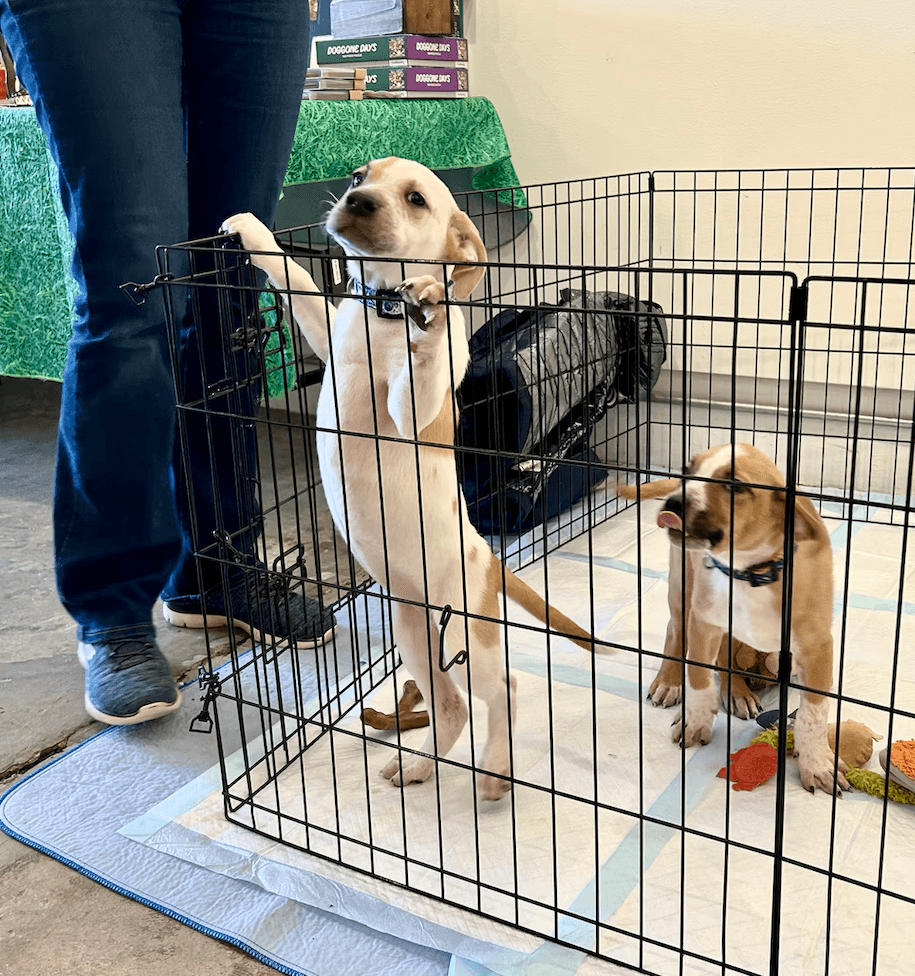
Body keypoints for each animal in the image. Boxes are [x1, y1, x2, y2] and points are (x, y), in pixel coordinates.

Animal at [222, 157, 596, 801]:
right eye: (357, 175)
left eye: (416, 199)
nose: (358, 201)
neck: (380, 310)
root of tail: (487, 558)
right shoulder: (330, 329)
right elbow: (298, 278)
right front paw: (251, 231)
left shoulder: (409, 413)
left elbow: (421, 366)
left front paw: (434, 304)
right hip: (415, 632)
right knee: (450, 707)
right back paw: (420, 765)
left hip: (467, 634)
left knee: (504, 689)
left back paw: (495, 769)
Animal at [618, 443, 848, 794]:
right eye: (687, 470)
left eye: (735, 485)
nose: (673, 503)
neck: (750, 571)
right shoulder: (704, 623)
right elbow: (699, 678)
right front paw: (696, 722)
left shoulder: (817, 646)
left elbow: (813, 713)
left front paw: (818, 764)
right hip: (681, 585)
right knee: (676, 630)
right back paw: (671, 682)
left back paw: (737, 691)